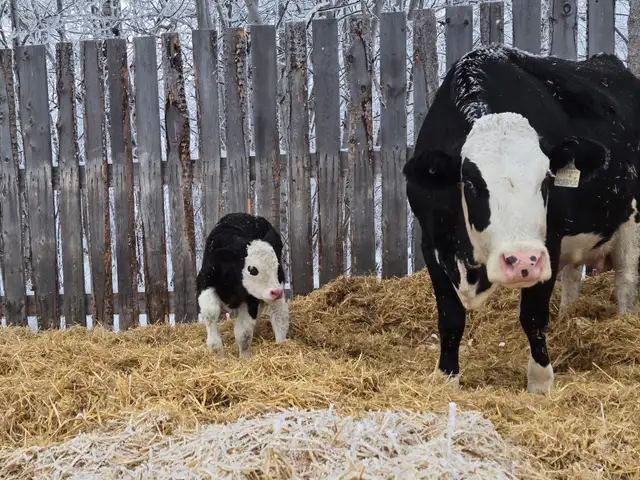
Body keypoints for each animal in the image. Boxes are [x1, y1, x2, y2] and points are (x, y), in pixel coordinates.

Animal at [196, 212, 290, 358]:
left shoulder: (251, 298)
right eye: (253, 269)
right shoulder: (205, 282)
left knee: (279, 315)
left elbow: (244, 333)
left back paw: (281, 344)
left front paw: (244, 358)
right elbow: (210, 312)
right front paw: (218, 352)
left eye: (277, 266)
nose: (276, 292)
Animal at [404, 45, 640, 393]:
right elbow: (450, 318)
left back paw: (624, 321)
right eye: (471, 182)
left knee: (626, 281)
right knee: (572, 278)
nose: (521, 260)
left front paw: (540, 382)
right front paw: (447, 378)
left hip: (631, 224)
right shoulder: (431, 242)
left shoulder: (549, 243)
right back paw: (567, 317)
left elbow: (532, 316)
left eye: (547, 179)